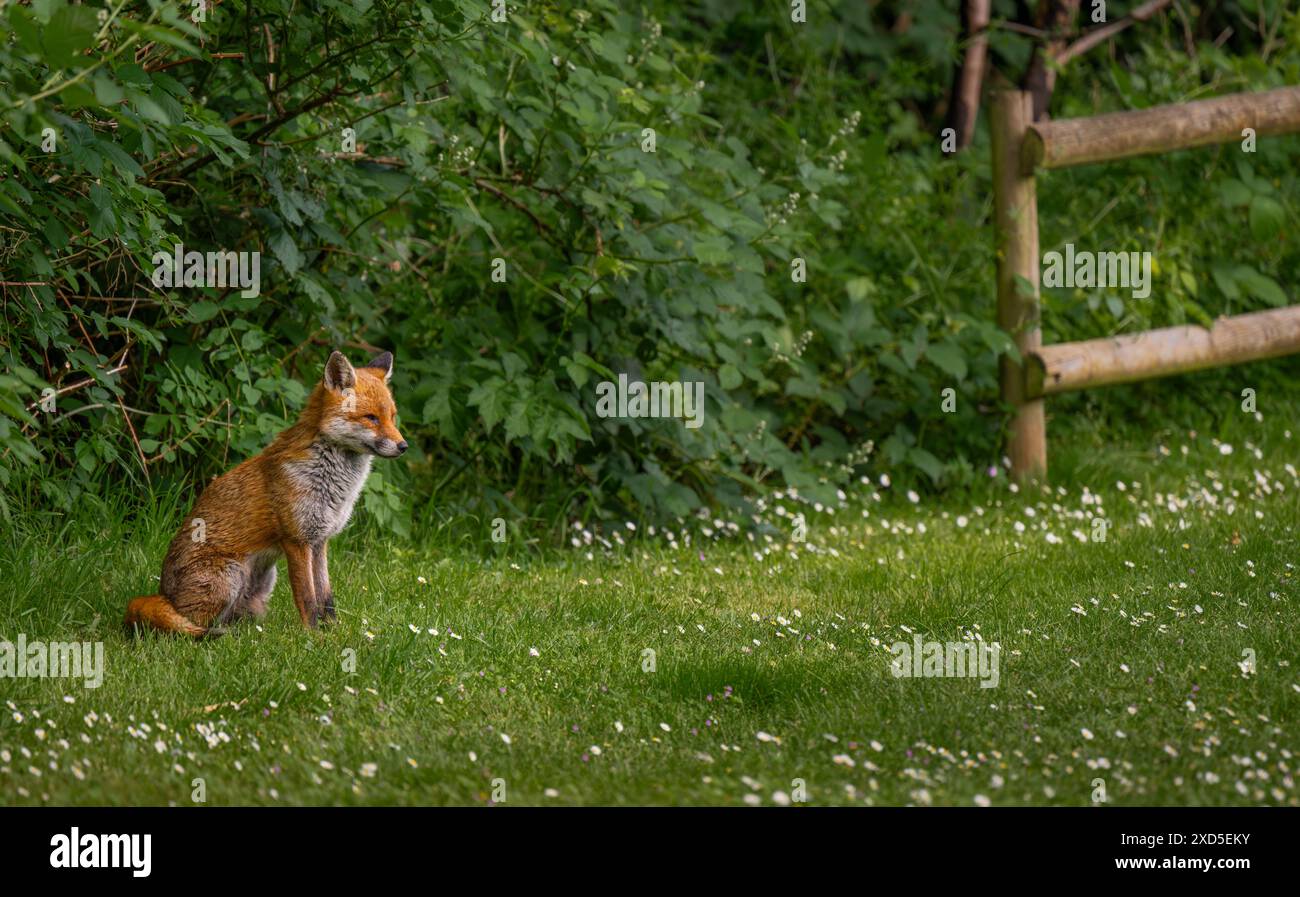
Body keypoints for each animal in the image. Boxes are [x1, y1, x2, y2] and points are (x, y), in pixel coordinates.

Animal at [124, 350, 407, 637]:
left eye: (393, 417)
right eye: (371, 418)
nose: (403, 446)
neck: (332, 481)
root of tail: (164, 594)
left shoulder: (319, 542)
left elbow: (326, 597)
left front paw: (334, 631)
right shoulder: (297, 541)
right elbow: (307, 598)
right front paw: (315, 637)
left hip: (264, 581)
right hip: (229, 576)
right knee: (190, 624)